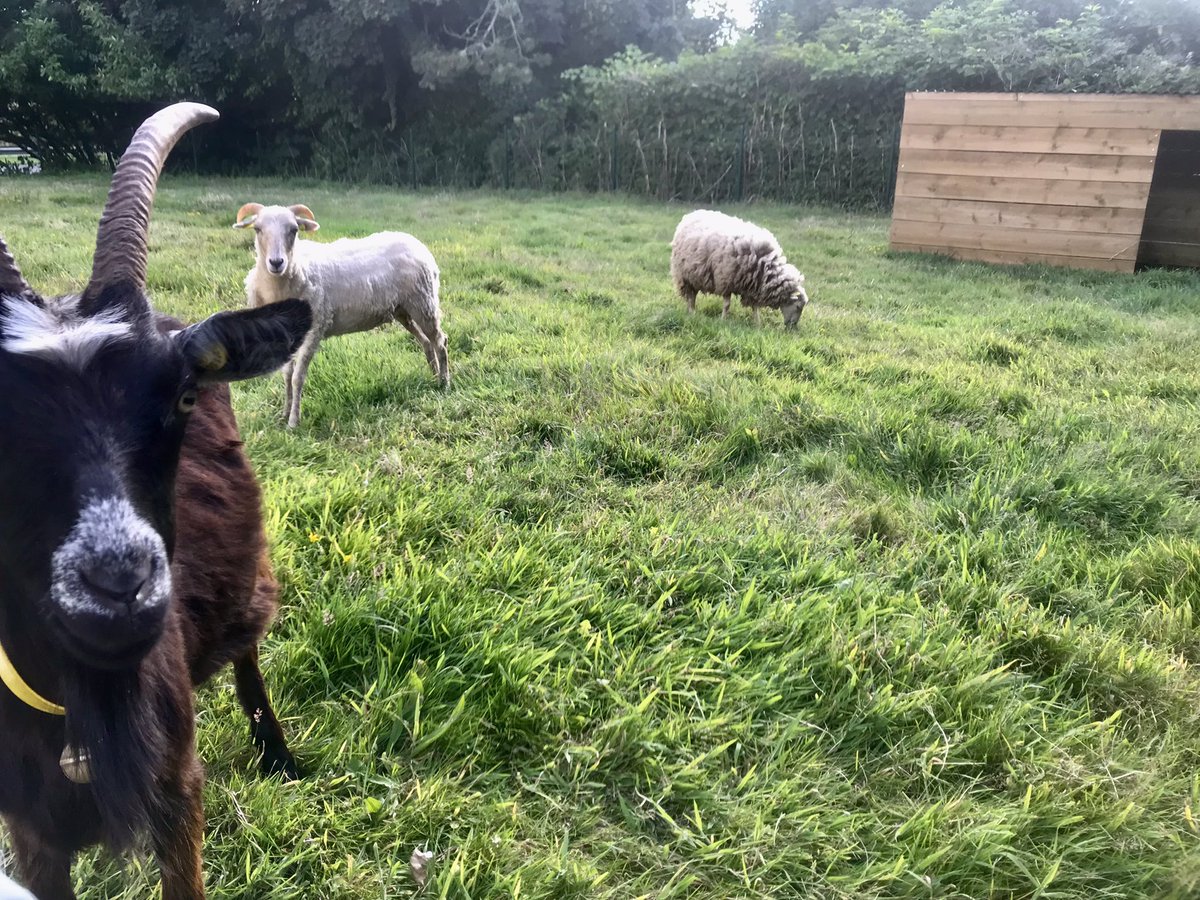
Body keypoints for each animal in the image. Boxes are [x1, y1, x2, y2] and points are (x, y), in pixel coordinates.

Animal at [0, 104, 312, 900]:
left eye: (181, 398)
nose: (121, 584)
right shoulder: (29, 831)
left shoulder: (178, 792)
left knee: (249, 648)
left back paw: (277, 754)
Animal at [233, 204, 449, 428]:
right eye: (257, 229)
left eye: (294, 230)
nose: (276, 262)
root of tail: (417, 243)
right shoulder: (287, 336)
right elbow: (287, 375)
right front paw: (284, 414)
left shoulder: (315, 328)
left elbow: (297, 377)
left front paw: (293, 422)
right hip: (403, 309)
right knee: (426, 342)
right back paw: (434, 376)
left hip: (424, 303)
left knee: (440, 341)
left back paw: (444, 383)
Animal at [670, 209, 809, 328]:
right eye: (798, 307)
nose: (792, 327)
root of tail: (690, 214)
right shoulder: (725, 280)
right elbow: (727, 305)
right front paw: (723, 320)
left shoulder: (753, 286)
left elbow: (755, 307)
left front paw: (757, 323)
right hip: (684, 275)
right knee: (691, 296)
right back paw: (692, 312)